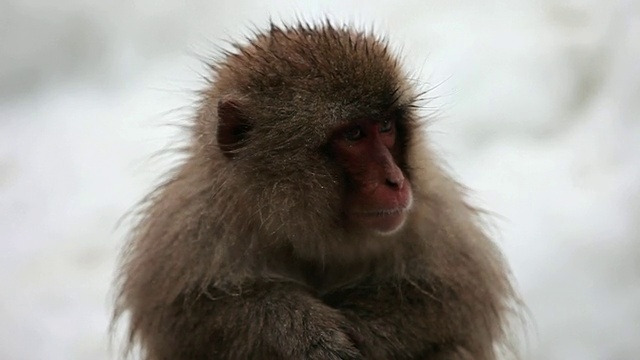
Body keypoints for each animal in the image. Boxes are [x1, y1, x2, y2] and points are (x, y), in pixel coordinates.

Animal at [114, 21, 520, 358]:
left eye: (385, 126)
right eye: (354, 134)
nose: (395, 180)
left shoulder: (429, 208)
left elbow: (457, 298)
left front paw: (361, 326)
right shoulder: (194, 220)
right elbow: (185, 316)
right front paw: (303, 332)